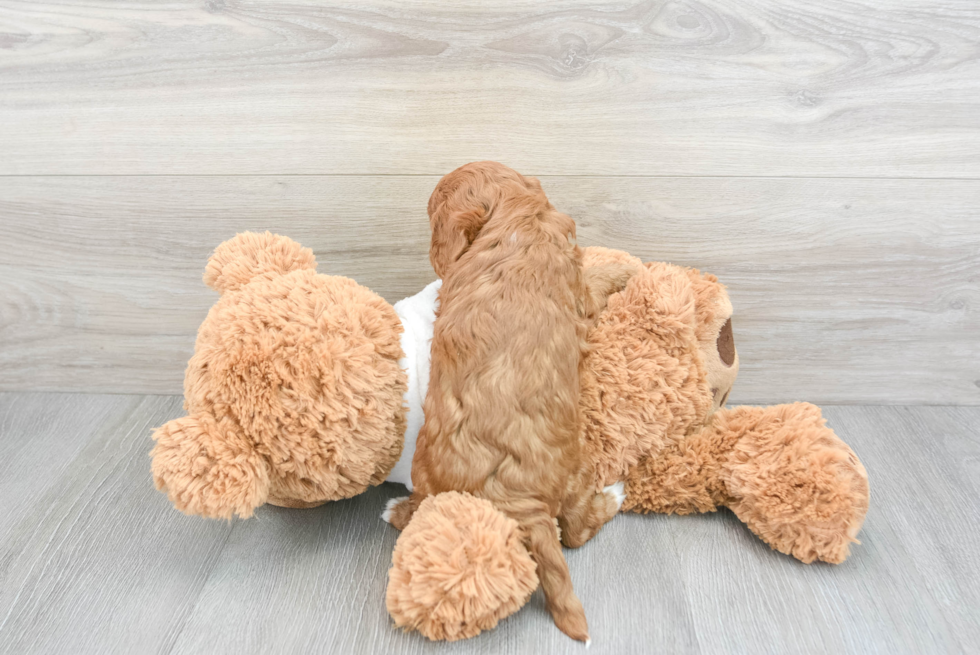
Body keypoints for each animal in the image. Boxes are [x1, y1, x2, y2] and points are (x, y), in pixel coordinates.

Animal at [382, 161, 636, 644]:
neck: (512, 222)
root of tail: (519, 506)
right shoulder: (579, 292)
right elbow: (595, 282)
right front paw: (623, 271)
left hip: (427, 471)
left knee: (422, 502)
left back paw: (397, 510)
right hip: (577, 472)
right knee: (576, 531)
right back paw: (613, 495)